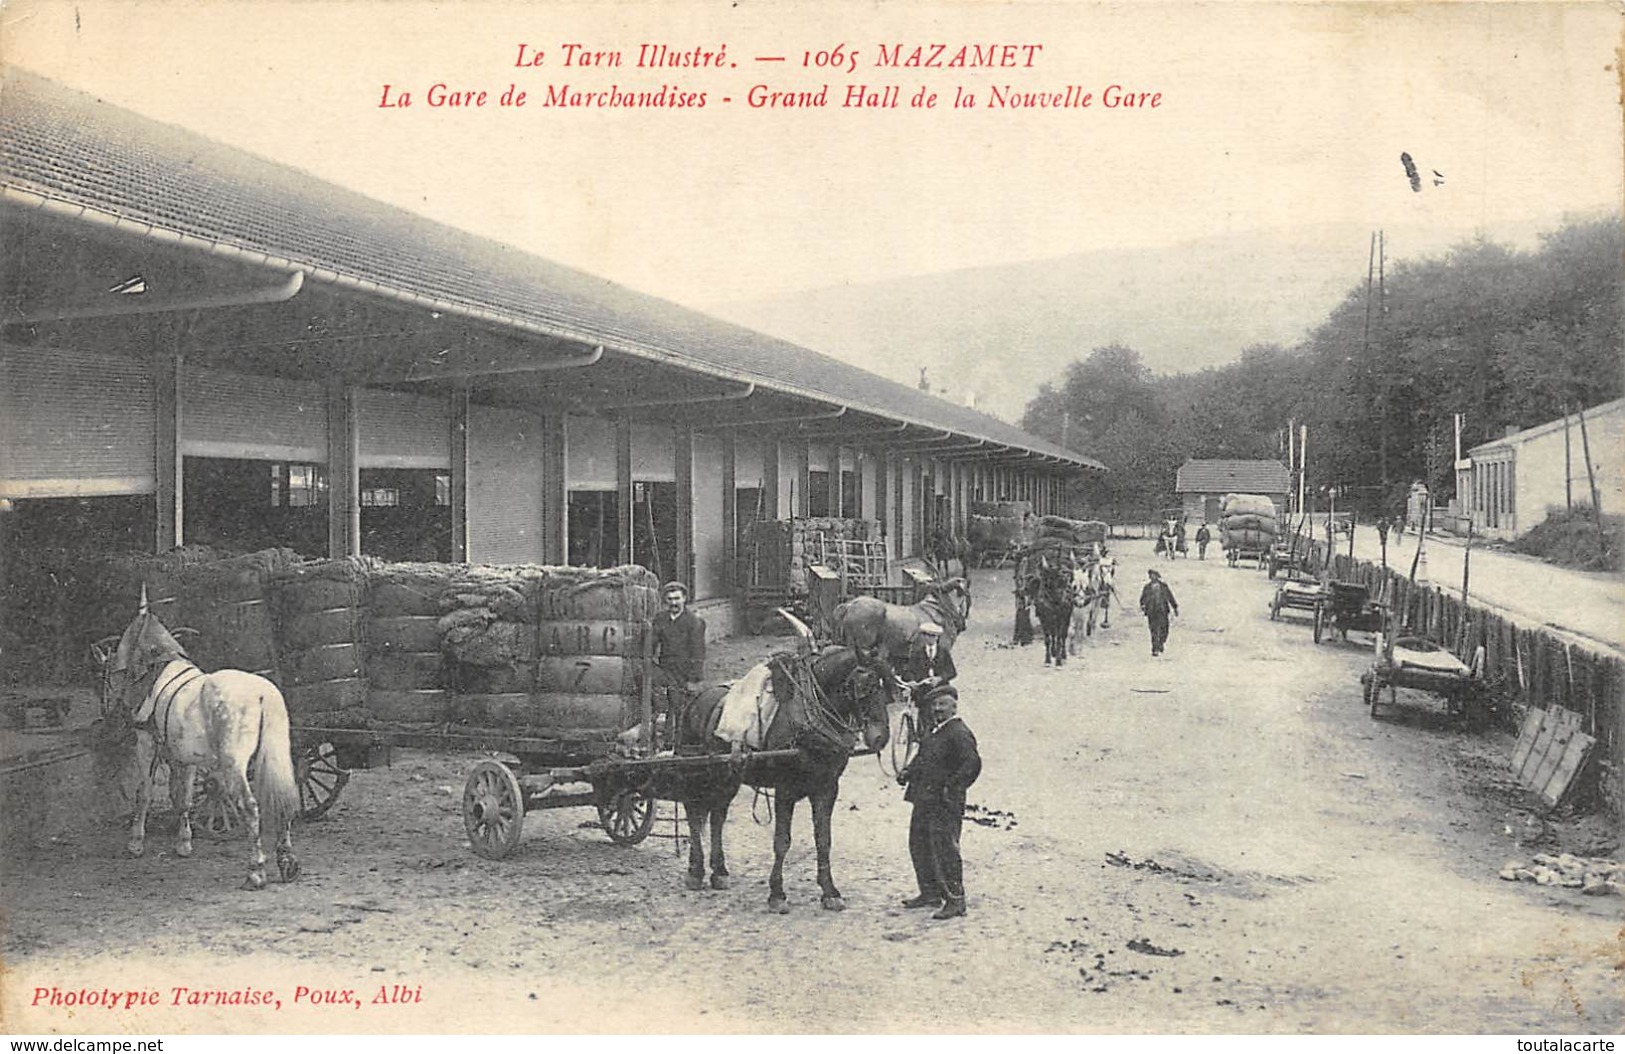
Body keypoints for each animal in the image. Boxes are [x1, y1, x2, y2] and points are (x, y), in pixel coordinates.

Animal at [679, 639, 897, 909]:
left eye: (888, 687)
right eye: (865, 686)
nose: (880, 737)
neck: (811, 714)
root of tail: (696, 699)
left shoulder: (827, 788)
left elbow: (823, 840)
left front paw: (829, 891)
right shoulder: (786, 789)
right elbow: (782, 841)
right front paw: (777, 893)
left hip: (727, 777)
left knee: (717, 816)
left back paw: (719, 871)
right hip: (697, 774)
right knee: (693, 814)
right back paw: (695, 870)